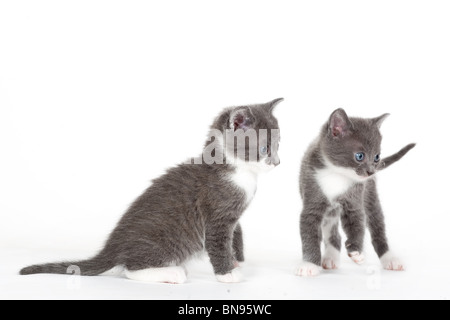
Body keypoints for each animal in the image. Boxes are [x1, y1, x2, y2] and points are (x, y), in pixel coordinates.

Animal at [21, 99, 284, 284]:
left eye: (279, 145)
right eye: (264, 148)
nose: (277, 162)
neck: (235, 170)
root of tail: (113, 247)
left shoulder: (232, 217)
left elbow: (236, 234)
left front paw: (236, 261)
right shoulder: (217, 216)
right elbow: (219, 244)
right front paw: (227, 274)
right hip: (165, 242)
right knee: (130, 269)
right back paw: (172, 273)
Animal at [298, 109, 416, 276]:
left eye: (377, 157)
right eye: (359, 156)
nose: (371, 172)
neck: (337, 174)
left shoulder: (355, 201)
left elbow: (357, 225)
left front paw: (356, 252)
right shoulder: (312, 199)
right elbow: (310, 235)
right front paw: (309, 264)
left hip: (370, 195)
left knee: (377, 226)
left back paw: (390, 258)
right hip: (330, 212)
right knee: (333, 232)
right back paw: (331, 256)